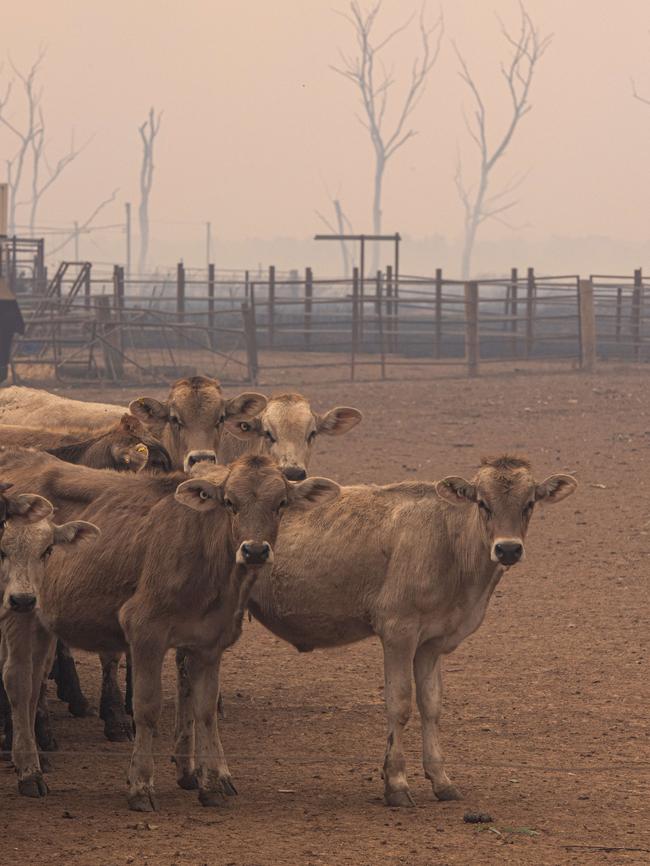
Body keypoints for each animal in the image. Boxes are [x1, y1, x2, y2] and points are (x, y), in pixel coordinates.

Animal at [0, 506, 99, 796]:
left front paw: (30, 768)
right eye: (1, 550)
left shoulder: (30, 621)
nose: (23, 599)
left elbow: (27, 683)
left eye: (47, 550)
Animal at [176, 456, 572, 808]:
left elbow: (431, 705)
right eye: (483, 503)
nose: (508, 549)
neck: (448, 542)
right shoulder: (398, 632)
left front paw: (441, 781)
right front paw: (396, 784)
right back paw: (212, 775)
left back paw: (196, 772)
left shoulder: (431, 643)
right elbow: (400, 703)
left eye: (529, 503)